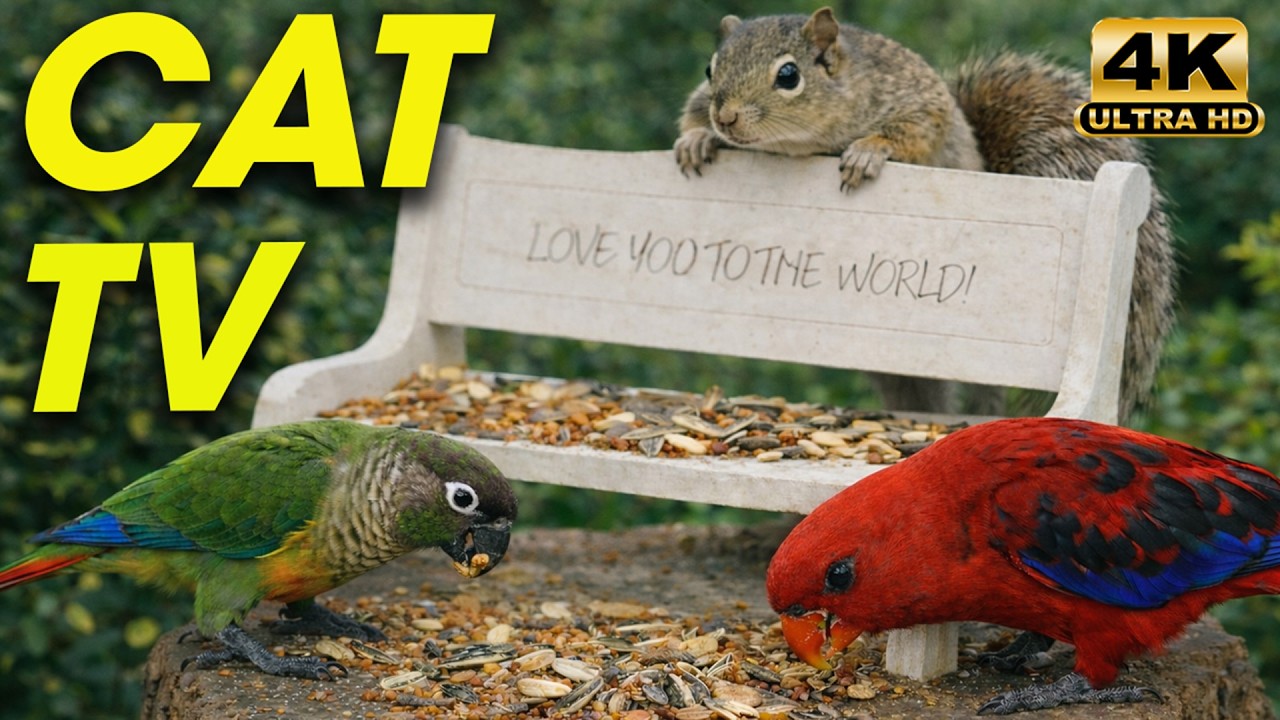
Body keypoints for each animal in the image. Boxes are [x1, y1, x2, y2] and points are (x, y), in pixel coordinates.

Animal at [674, 7, 1176, 421]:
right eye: (709, 69)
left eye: (788, 75)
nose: (727, 118)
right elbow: (691, 111)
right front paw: (695, 139)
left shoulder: (916, 102)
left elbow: (913, 131)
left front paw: (868, 151)